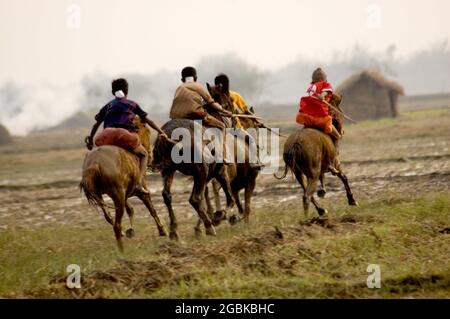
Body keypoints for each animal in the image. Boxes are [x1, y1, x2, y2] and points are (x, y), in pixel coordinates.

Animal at [79, 117, 167, 252]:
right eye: (148, 131)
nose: (151, 155)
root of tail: (95, 163)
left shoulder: (124, 193)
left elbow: (130, 209)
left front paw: (131, 230)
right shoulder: (140, 193)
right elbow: (152, 210)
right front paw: (162, 230)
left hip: (102, 195)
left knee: (108, 217)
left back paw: (121, 234)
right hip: (117, 195)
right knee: (117, 225)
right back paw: (122, 252)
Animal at [203, 84, 260, 226]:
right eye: (256, 126)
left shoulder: (235, 187)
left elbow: (240, 205)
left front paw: (235, 217)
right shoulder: (250, 181)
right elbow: (246, 206)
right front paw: (242, 221)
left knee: (205, 189)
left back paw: (211, 215)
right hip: (226, 171)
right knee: (214, 185)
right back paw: (218, 213)